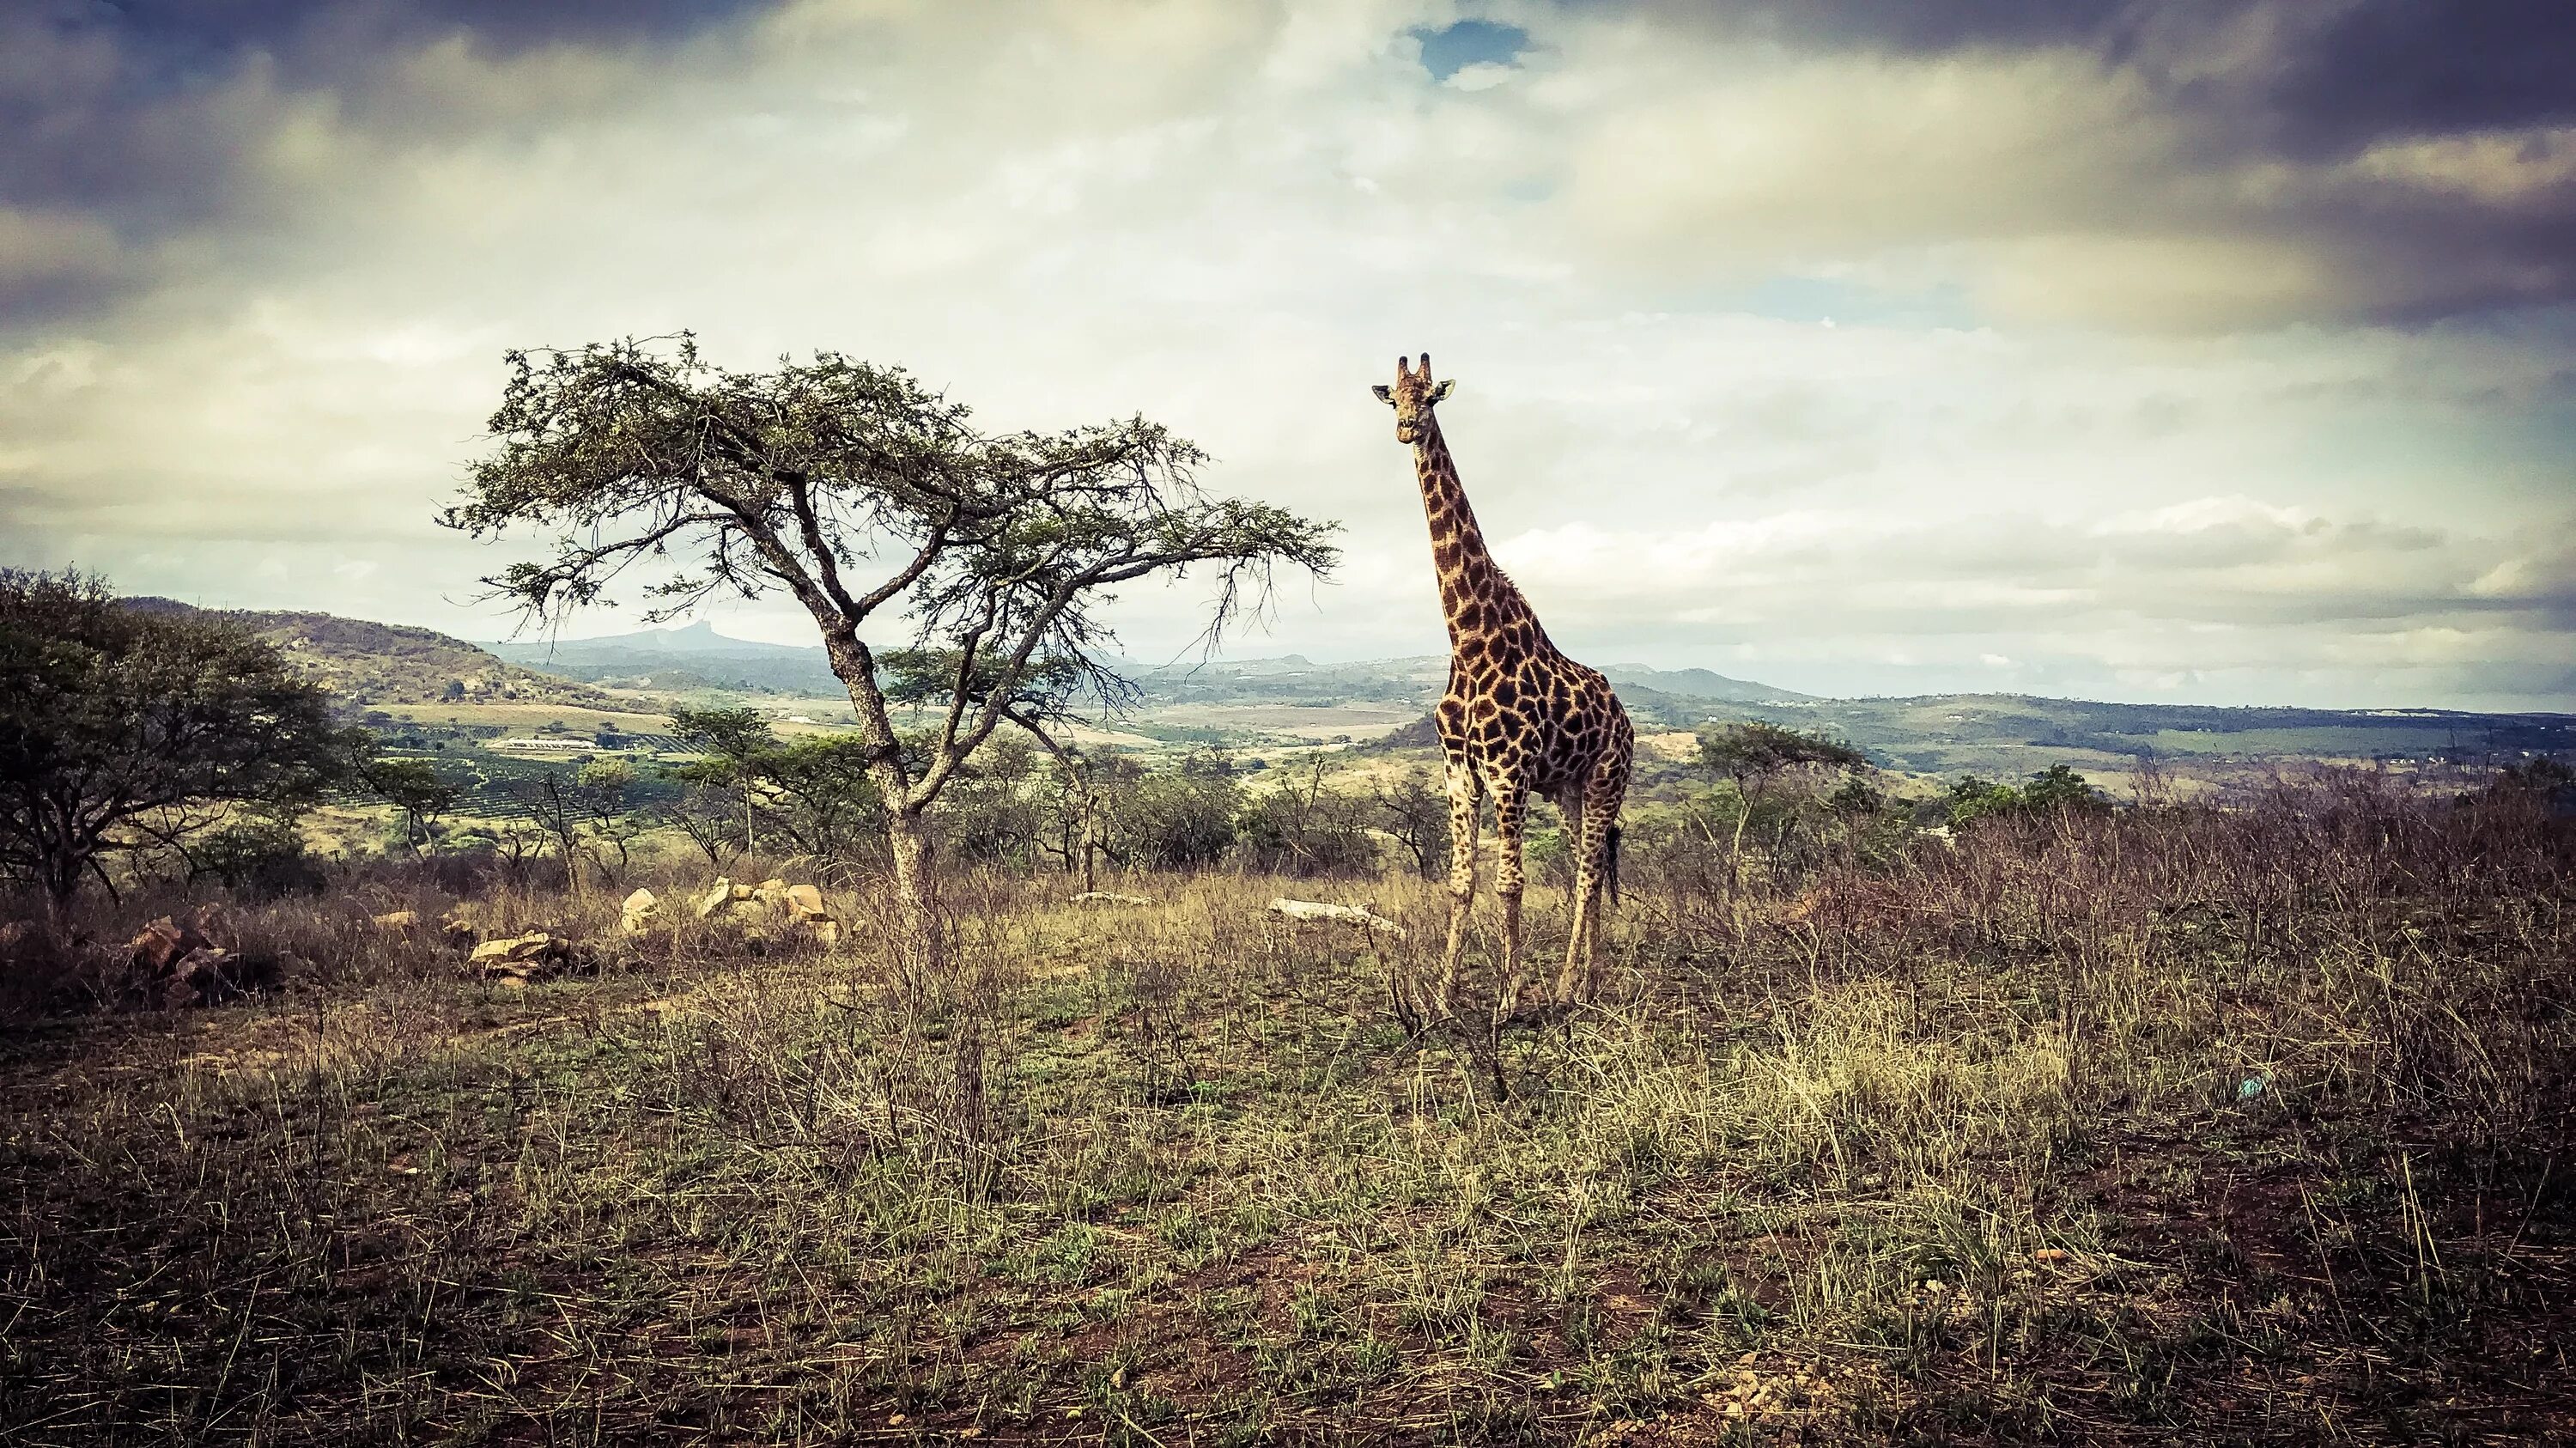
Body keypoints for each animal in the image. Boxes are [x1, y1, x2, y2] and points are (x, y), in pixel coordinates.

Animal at [1370, 350, 1628, 1010]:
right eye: (1393, 399)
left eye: (1431, 396)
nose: (1406, 428)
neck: (1468, 642)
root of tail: (1624, 718)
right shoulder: (1459, 773)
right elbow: (1461, 883)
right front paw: (1442, 995)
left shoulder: (1509, 771)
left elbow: (1510, 882)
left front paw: (1508, 1001)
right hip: (1569, 789)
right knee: (1589, 868)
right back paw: (1585, 979)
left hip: (1608, 780)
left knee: (1589, 872)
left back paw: (1568, 986)